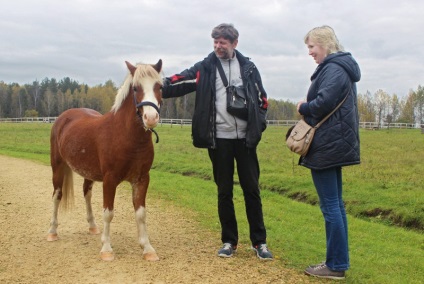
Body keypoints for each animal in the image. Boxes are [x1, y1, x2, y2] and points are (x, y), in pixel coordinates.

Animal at [47, 60, 162, 262]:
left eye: (160, 86)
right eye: (136, 88)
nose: (151, 118)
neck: (126, 136)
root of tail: (63, 117)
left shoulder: (141, 179)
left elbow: (141, 214)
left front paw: (147, 249)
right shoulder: (110, 180)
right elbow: (108, 213)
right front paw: (107, 249)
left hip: (88, 172)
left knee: (86, 193)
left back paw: (93, 227)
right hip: (57, 167)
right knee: (57, 195)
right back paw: (53, 232)